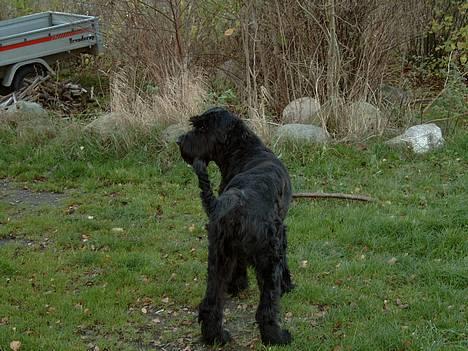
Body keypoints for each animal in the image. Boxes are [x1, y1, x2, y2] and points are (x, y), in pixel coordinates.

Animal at [177, 107, 294, 346]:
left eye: (202, 128)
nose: (180, 141)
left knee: (210, 303)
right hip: (269, 259)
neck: (245, 152)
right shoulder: (281, 235)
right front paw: (287, 285)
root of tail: (231, 206)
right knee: (266, 308)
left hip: (218, 257)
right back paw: (276, 337)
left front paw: (237, 285)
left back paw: (216, 337)